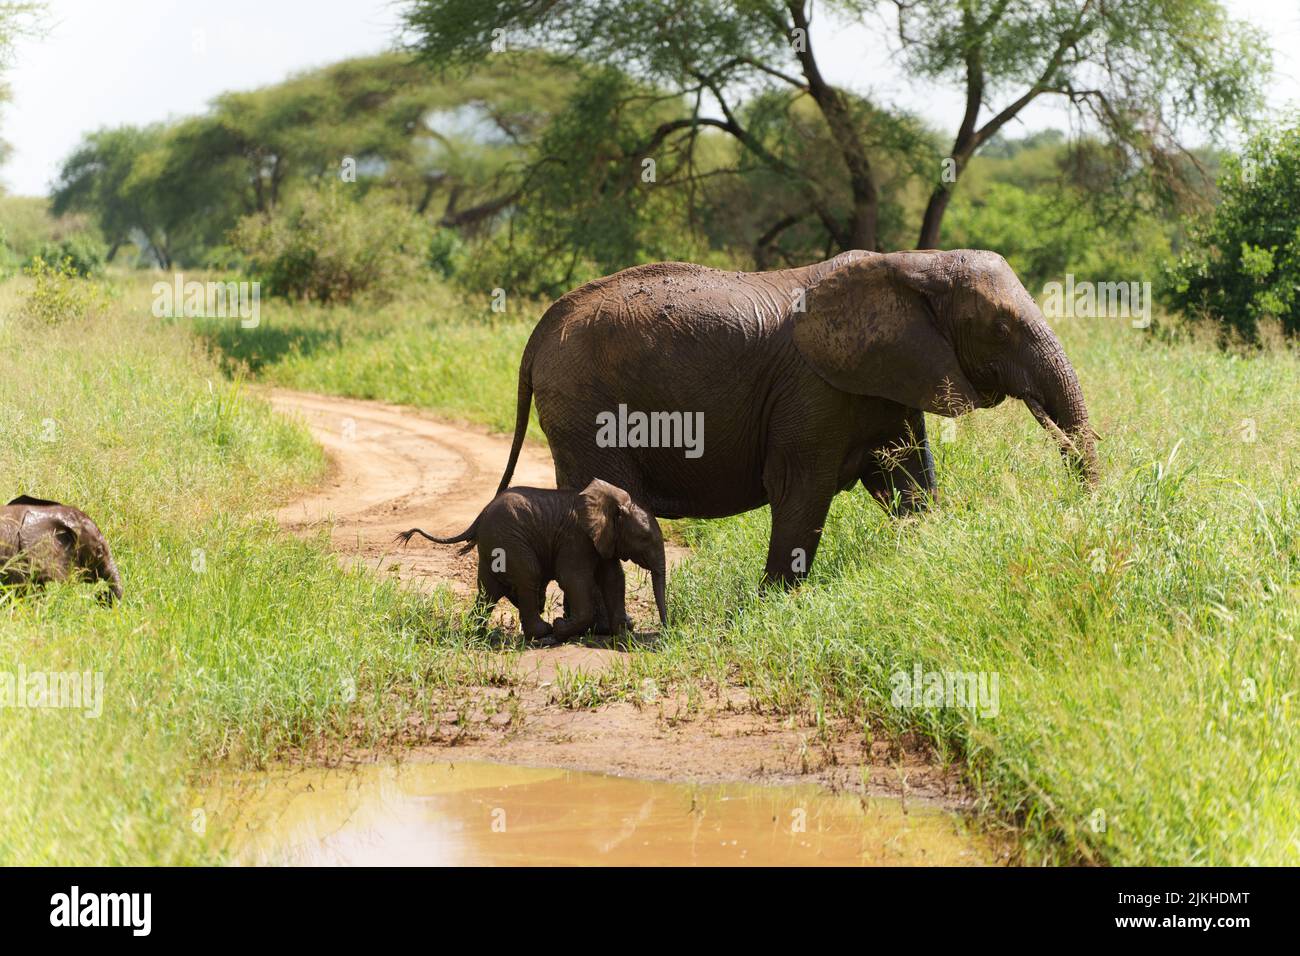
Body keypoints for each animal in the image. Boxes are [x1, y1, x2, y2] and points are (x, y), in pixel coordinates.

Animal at [395, 478, 665, 642]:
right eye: (644, 537)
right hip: (509, 540)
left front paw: (622, 631)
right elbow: (574, 579)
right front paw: (560, 627)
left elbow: (614, 580)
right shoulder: (575, 539)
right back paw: (542, 632)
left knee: (488, 591)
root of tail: (480, 516)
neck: (612, 504)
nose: (666, 629)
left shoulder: (603, 540)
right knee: (528, 575)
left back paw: (477, 634)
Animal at [491, 247, 1092, 587]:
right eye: (1002, 329)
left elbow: (907, 480)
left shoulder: (884, 377)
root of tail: (541, 330)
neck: (913, 263)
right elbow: (801, 488)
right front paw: (778, 600)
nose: (1081, 509)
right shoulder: (812, 389)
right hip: (586, 408)